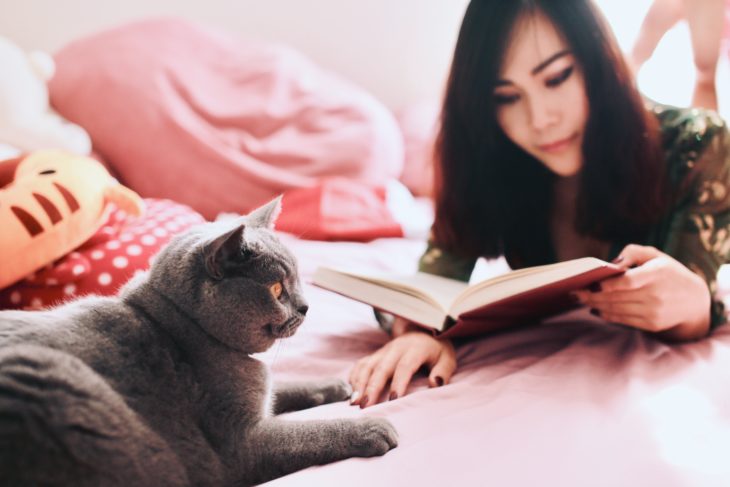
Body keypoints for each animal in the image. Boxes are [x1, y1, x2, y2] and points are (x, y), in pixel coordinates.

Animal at [0, 198, 396, 487]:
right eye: (275, 289)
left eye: (298, 278)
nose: (306, 306)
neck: (187, 328)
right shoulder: (242, 443)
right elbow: (309, 433)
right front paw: (373, 428)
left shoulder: (261, 397)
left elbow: (285, 388)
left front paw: (337, 385)